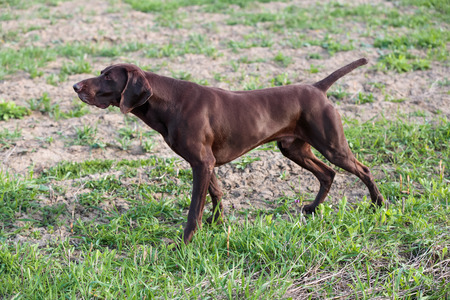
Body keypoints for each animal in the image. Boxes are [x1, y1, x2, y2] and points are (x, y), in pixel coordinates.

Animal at [73, 58, 384, 244]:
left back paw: (378, 204)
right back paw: (313, 208)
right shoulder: (204, 162)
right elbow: (216, 192)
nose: (75, 86)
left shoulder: (202, 162)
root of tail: (318, 89)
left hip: (332, 146)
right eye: (101, 74)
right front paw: (216, 222)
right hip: (294, 149)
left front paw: (186, 242)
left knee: (363, 169)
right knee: (327, 174)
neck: (168, 102)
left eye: (108, 77)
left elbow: (194, 210)